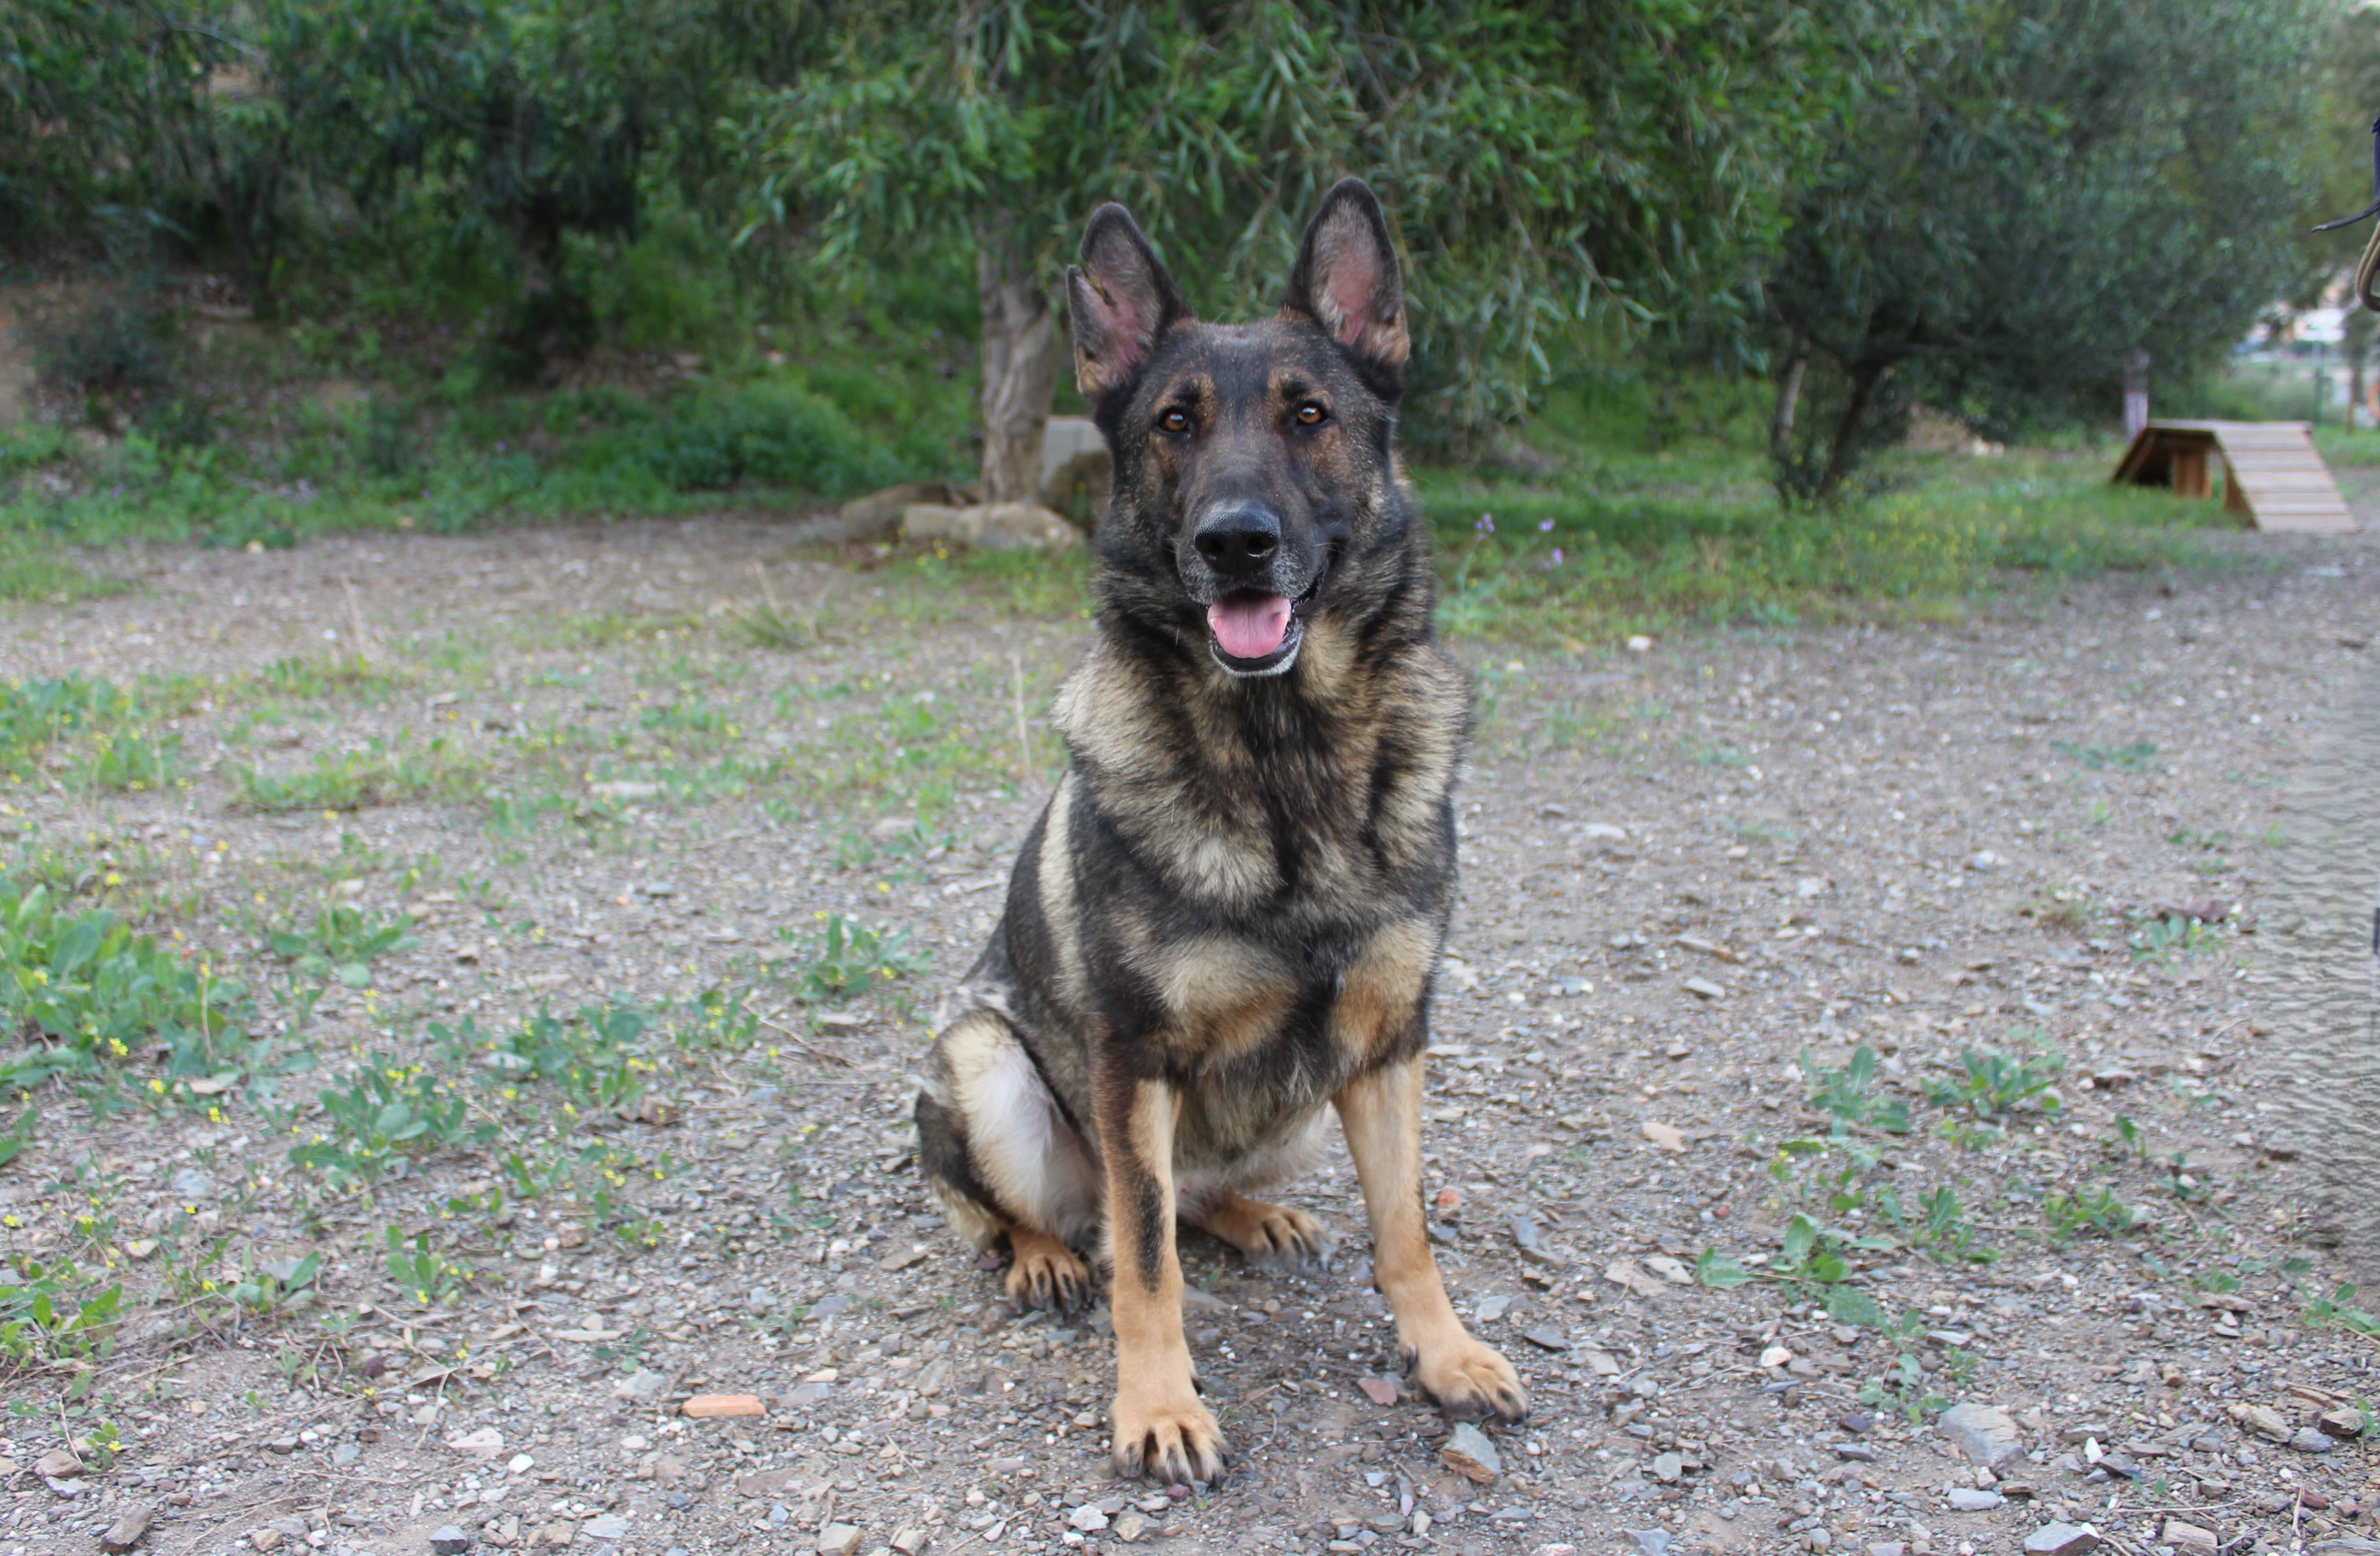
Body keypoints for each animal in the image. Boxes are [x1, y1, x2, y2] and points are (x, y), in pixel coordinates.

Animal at [909, 180, 1523, 1484]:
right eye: (1174, 424)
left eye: (1310, 416)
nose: (1234, 540)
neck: (1286, 758)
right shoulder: (1131, 1057)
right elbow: (1145, 1260)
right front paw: (1157, 1404)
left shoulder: (1388, 1045)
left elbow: (1405, 1228)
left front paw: (1443, 1353)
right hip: (987, 1067)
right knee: (1063, 1214)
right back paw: (1042, 1254)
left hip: (1295, 1108)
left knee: (1189, 1194)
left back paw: (1252, 1212)